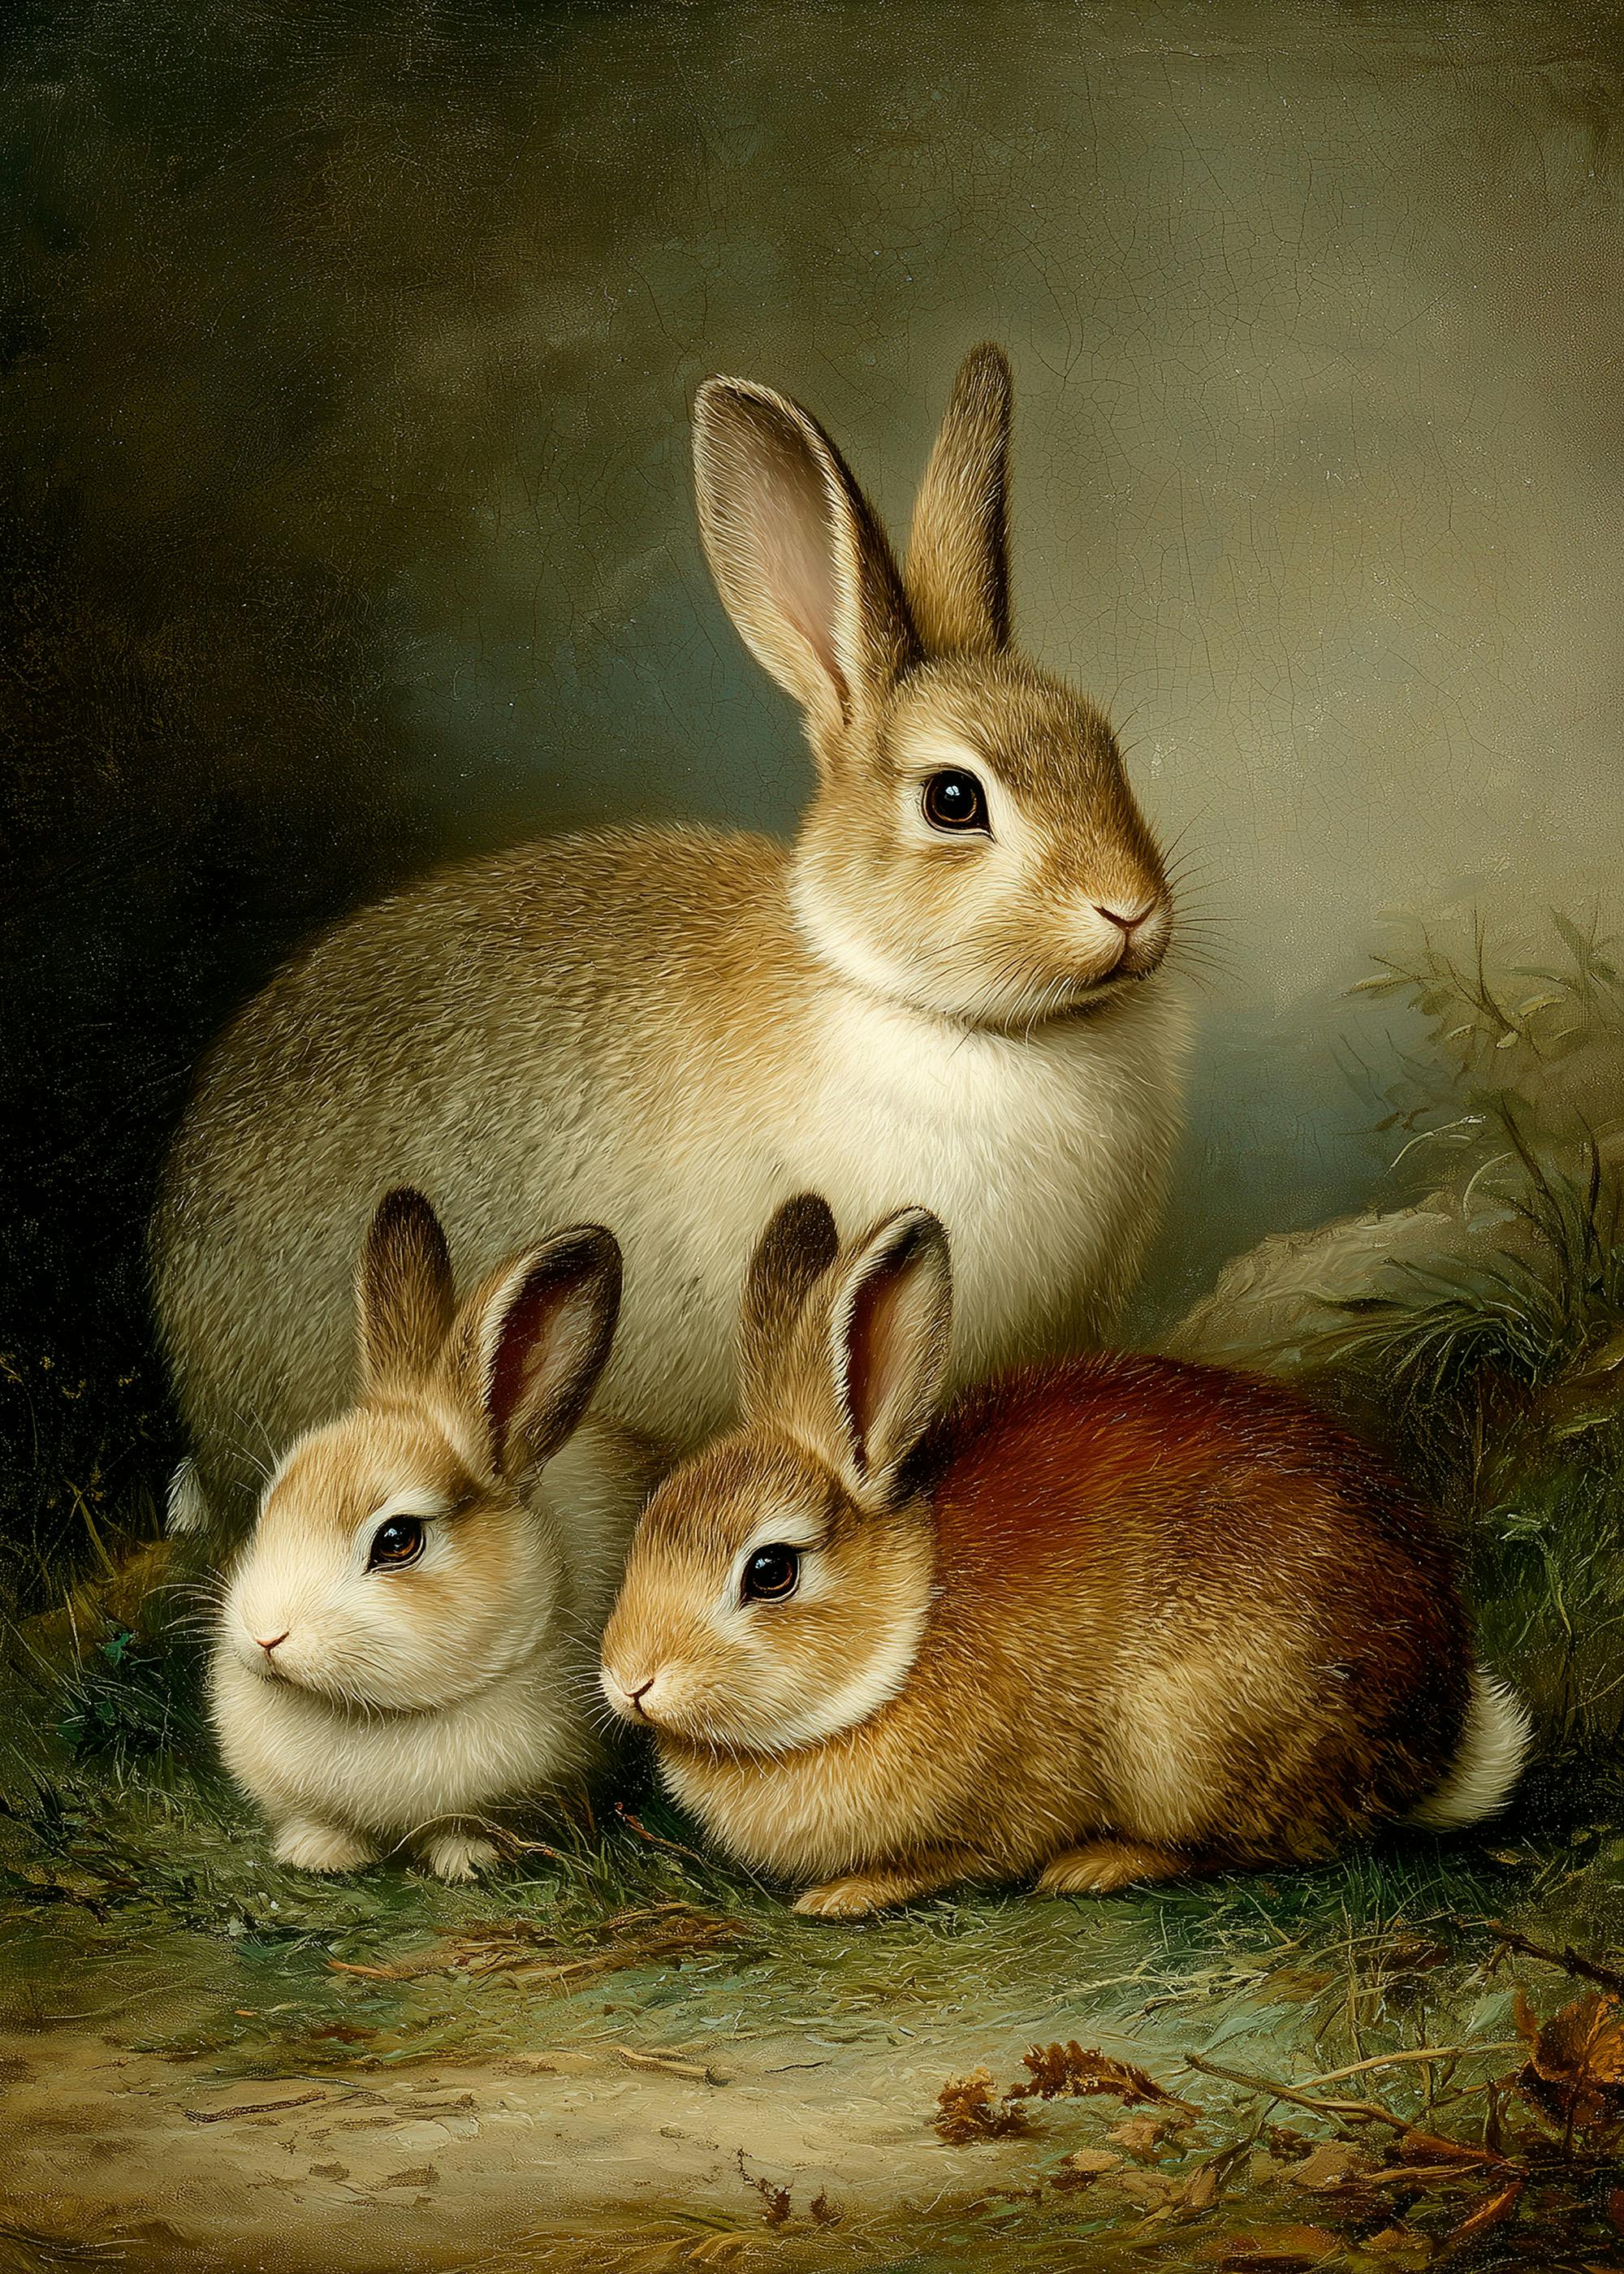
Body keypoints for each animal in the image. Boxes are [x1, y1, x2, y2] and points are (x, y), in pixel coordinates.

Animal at [209, 1186, 661, 1879]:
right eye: (270, 1504)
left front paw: (464, 1862)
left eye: (397, 1541)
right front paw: (319, 1854)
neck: (366, 1712)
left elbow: (470, 1828)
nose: (266, 1636)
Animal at [598, 1194, 1532, 1918]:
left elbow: (964, 1858)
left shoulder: (1011, 1797)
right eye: (646, 1522)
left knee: (1260, 1845)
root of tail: (1441, 1732)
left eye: (770, 1572)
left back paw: (1099, 1864)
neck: (907, 1629)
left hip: (1190, 1736)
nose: (630, 1681)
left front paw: (845, 1893)